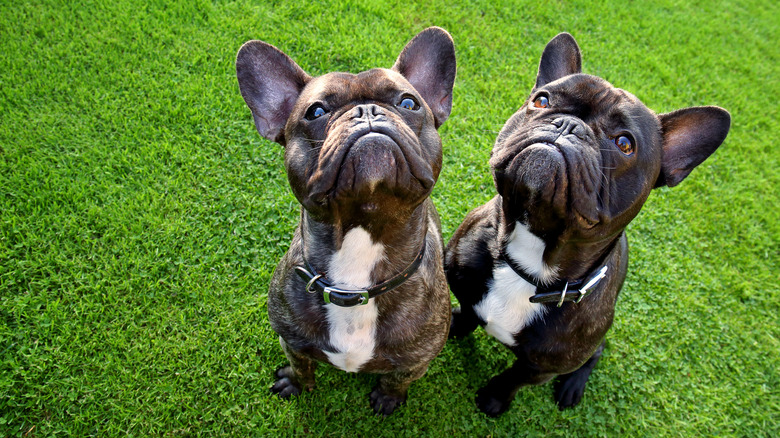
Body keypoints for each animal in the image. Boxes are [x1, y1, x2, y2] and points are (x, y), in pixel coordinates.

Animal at [236, 26, 458, 414]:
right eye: (316, 111)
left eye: (409, 103)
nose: (366, 110)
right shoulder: (289, 340)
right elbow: (301, 364)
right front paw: (295, 383)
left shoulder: (419, 359)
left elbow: (399, 377)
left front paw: (388, 398)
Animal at [444, 32, 732, 416]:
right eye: (541, 100)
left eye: (625, 143)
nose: (569, 124)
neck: (528, 264)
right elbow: (468, 312)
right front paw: (453, 325)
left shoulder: (542, 367)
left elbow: (513, 379)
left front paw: (493, 400)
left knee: (595, 355)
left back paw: (573, 387)